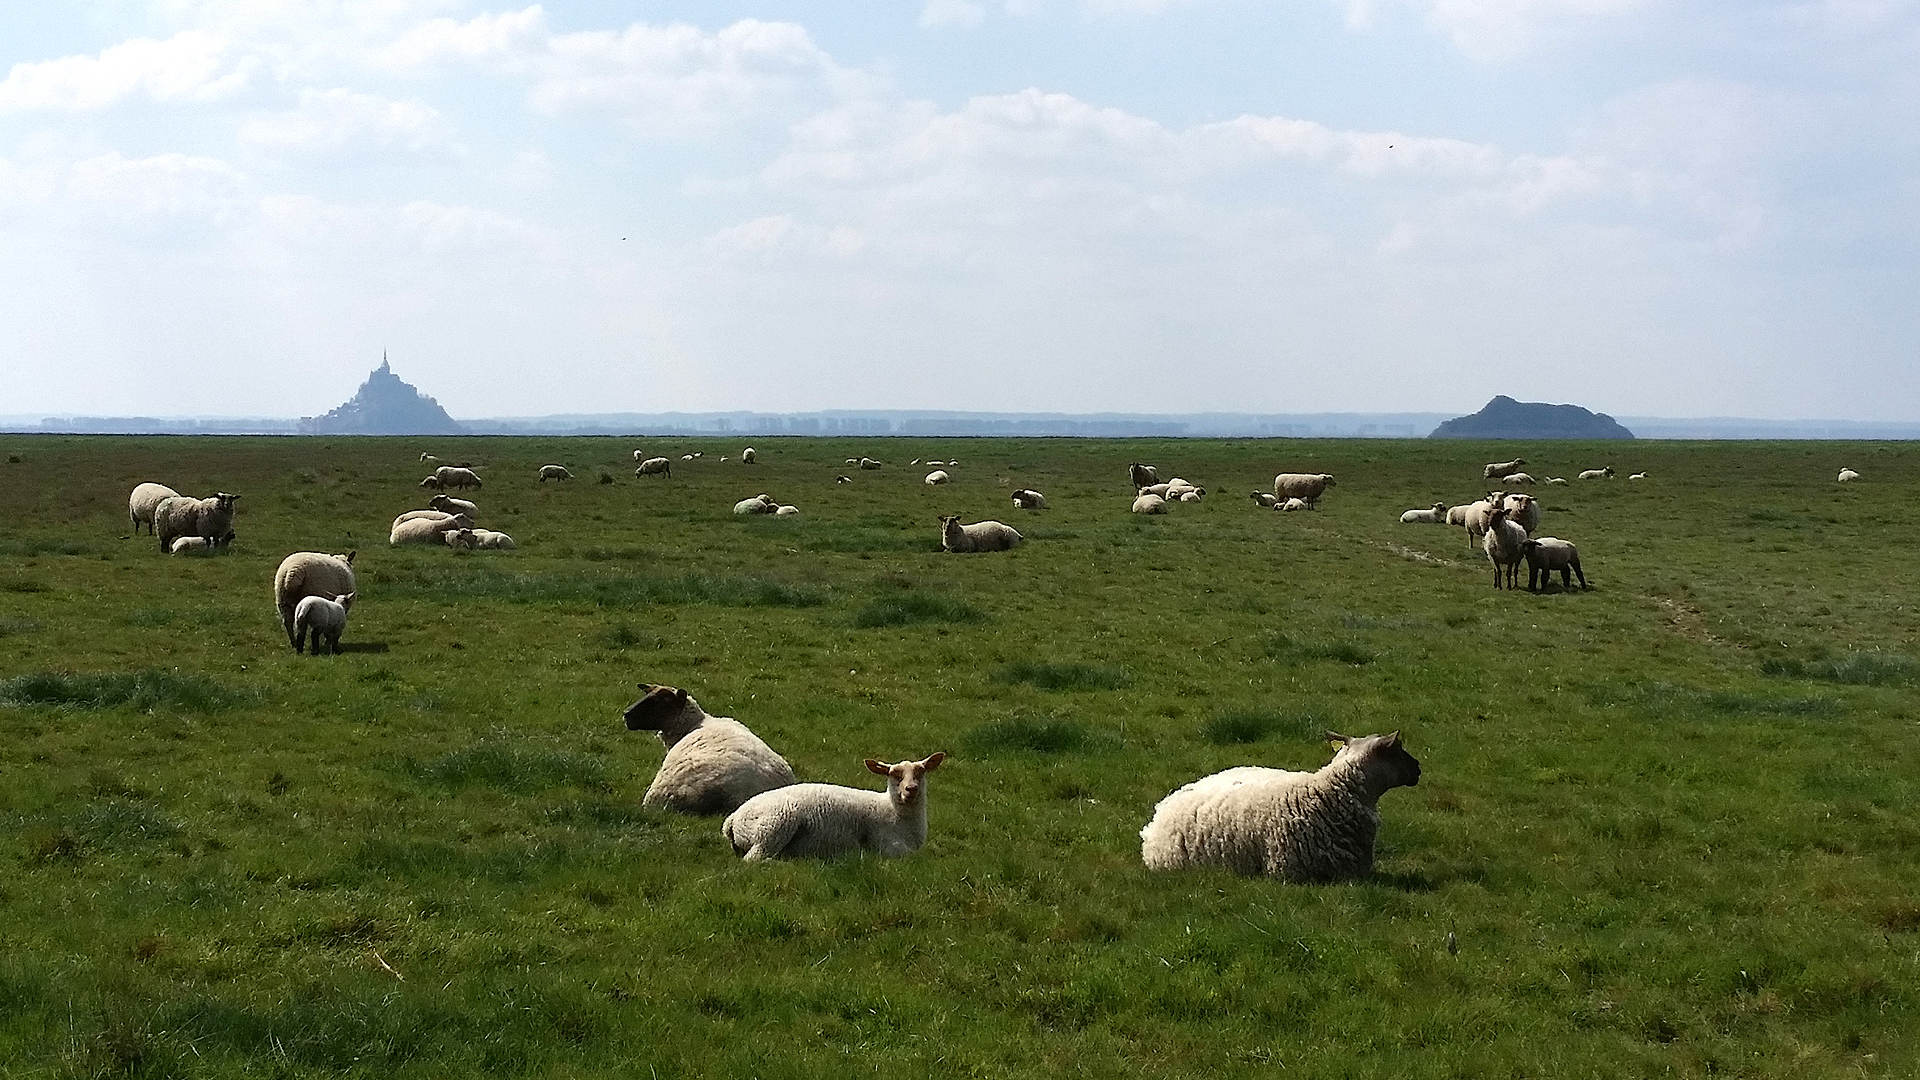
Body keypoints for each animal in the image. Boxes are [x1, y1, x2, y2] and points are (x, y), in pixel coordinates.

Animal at [721, 749, 948, 857]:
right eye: (894, 775)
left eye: (921, 772)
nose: (911, 789)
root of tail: (732, 819)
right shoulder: (888, 845)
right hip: (773, 827)